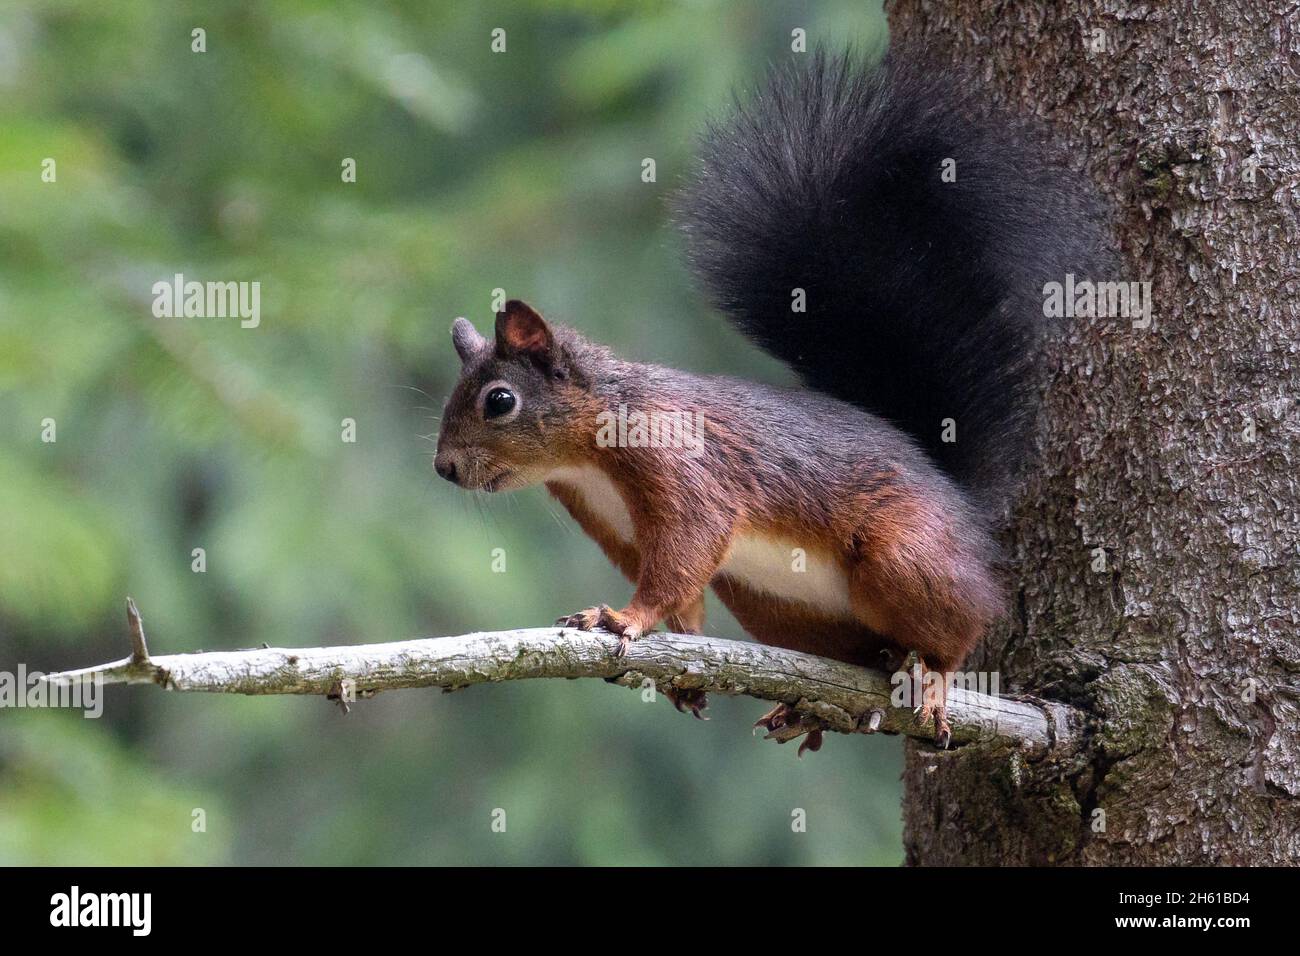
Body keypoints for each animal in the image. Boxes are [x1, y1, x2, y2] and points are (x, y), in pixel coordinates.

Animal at [431, 44, 1102, 749]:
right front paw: (680, 659)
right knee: (864, 649)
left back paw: (937, 679)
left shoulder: (680, 466)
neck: (585, 455)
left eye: (499, 401)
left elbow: (682, 554)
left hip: (904, 557)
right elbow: (685, 593)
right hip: (773, 603)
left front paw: (628, 618)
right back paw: (811, 703)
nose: (444, 467)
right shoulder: (615, 522)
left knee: (962, 623)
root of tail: (959, 502)